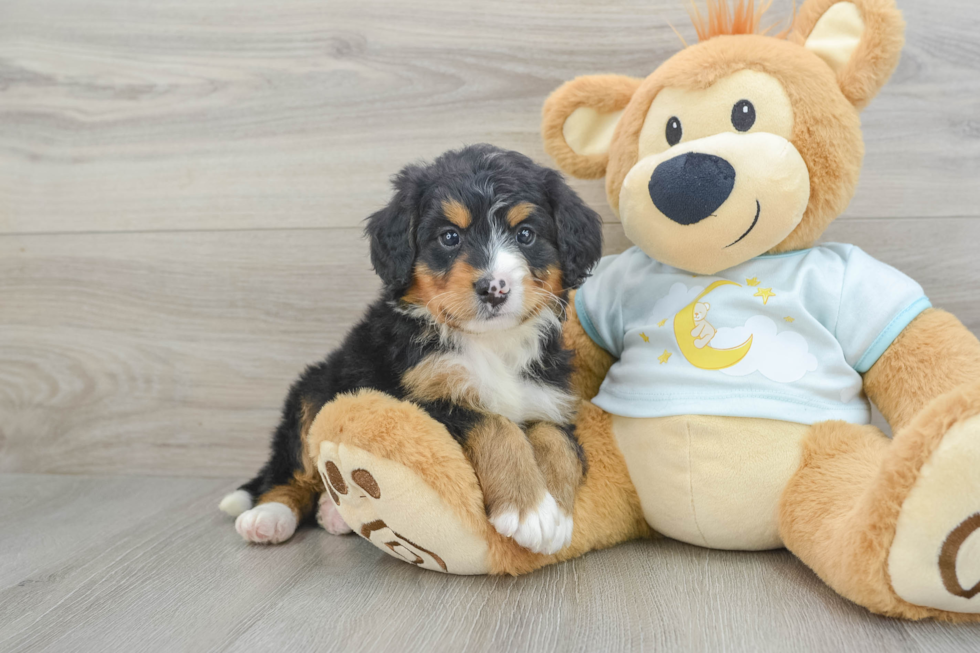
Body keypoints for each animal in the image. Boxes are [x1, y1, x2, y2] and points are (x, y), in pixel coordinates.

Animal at [220, 145, 604, 552]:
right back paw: (268, 515)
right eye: (449, 237)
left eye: (526, 234)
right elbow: (495, 423)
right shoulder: (421, 399)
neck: (490, 343)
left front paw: (554, 515)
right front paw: (527, 507)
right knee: (291, 471)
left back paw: (333, 513)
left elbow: (558, 440)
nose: (494, 289)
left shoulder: (548, 396)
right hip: (312, 390)